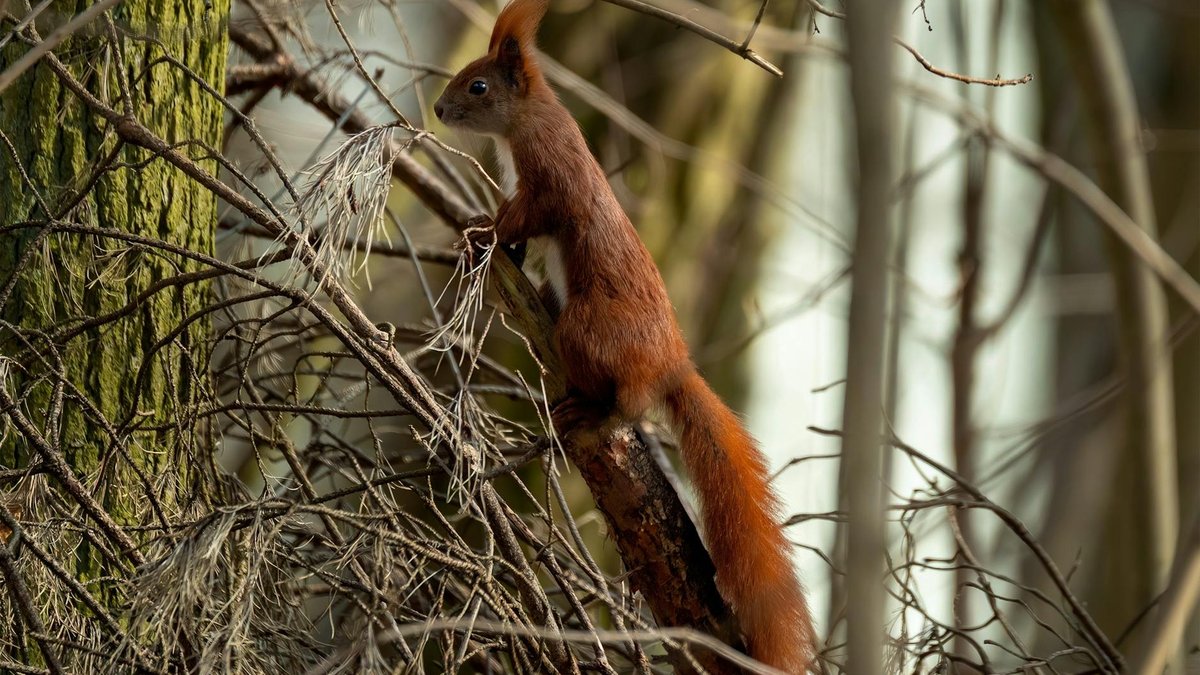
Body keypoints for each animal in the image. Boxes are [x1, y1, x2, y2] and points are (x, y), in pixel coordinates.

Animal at [434, 0, 815, 671]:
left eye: (478, 86)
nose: (437, 108)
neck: (527, 121)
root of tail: (671, 363)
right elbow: (518, 239)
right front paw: (489, 240)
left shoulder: (550, 180)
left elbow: (526, 216)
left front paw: (483, 229)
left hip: (589, 329)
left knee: (628, 403)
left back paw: (589, 409)